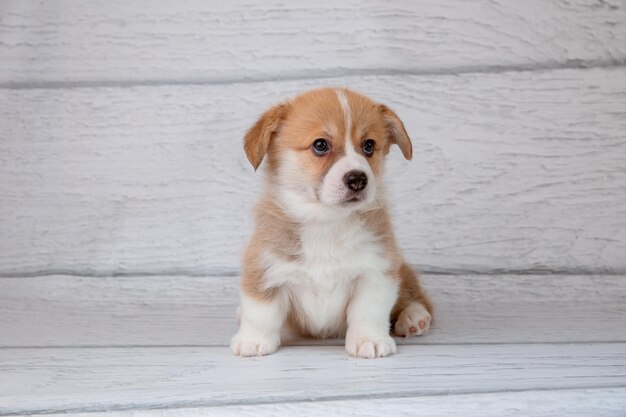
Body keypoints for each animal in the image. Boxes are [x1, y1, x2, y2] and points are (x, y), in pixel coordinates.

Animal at [232, 88, 432, 358]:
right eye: (320, 145)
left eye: (369, 145)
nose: (358, 179)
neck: (326, 222)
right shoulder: (264, 268)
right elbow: (260, 312)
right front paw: (252, 340)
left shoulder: (377, 271)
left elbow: (368, 311)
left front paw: (369, 340)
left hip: (402, 268)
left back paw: (413, 316)